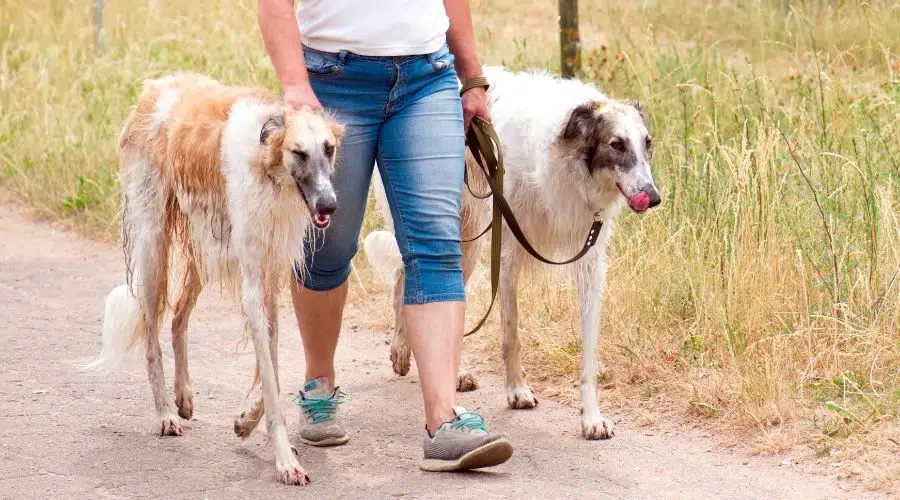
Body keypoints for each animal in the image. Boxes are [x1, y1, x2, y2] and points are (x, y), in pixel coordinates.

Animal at [86, 73, 344, 484]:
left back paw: (184, 397)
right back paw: (165, 414)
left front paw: (246, 423)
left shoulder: (269, 280)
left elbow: (271, 369)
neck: (267, 167)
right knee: (152, 337)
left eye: (329, 149)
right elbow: (270, 376)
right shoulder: (253, 285)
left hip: (200, 249)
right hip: (154, 247)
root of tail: (155, 87)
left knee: (177, 319)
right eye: (299, 153)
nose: (328, 205)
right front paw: (284, 460)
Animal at [366, 65, 660, 442]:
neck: (566, 160)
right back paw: (403, 351)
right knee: (405, 276)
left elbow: (590, 353)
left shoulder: (590, 264)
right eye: (617, 144)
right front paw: (517, 391)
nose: (653, 197)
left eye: (647, 143)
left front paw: (592, 418)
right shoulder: (506, 254)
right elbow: (511, 334)